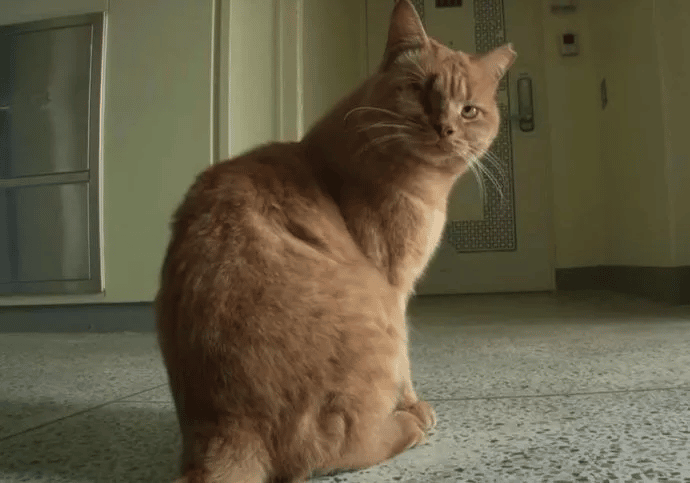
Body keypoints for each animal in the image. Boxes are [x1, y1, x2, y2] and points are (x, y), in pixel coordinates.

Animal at [155, 1, 510, 482]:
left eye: (469, 110)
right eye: (420, 91)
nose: (444, 127)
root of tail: (225, 428)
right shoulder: (395, 287)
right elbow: (406, 366)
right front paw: (415, 404)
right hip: (376, 326)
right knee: (333, 448)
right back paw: (408, 424)